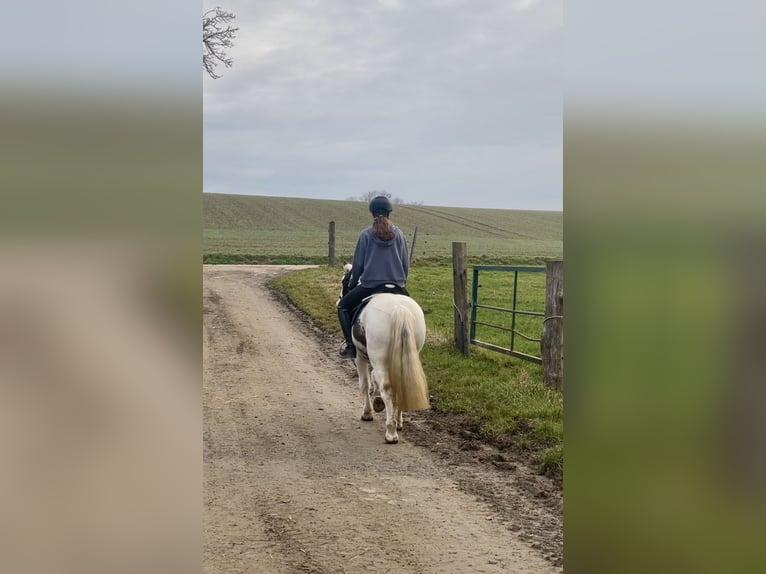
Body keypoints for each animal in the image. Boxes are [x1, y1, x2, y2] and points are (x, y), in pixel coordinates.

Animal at [339, 265, 430, 443]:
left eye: (344, 281)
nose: (339, 300)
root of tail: (398, 308)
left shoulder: (360, 357)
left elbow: (365, 384)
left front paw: (367, 412)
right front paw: (378, 402)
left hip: (378, 357)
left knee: (386, 387)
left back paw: (391, 431)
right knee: (400, 383)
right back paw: (398, 423)